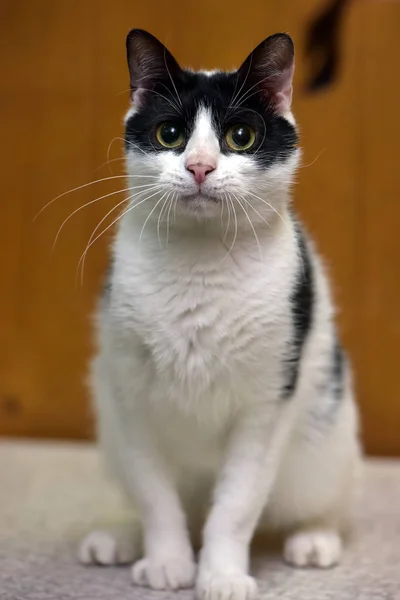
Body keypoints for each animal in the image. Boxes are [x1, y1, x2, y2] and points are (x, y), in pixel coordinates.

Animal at [78, 30, 360, 600]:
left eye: (241, 137)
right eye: (170, 134)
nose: (200, 166)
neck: (201, 265)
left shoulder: (265, 408)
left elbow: (236, 506)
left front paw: (222, 575)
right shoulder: (130, 397)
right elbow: (155, 497)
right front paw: (168, 561)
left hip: (325, 436)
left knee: (321, 502)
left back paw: (314, 539)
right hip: (109, 421)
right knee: (168, 504)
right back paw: (119, 538)